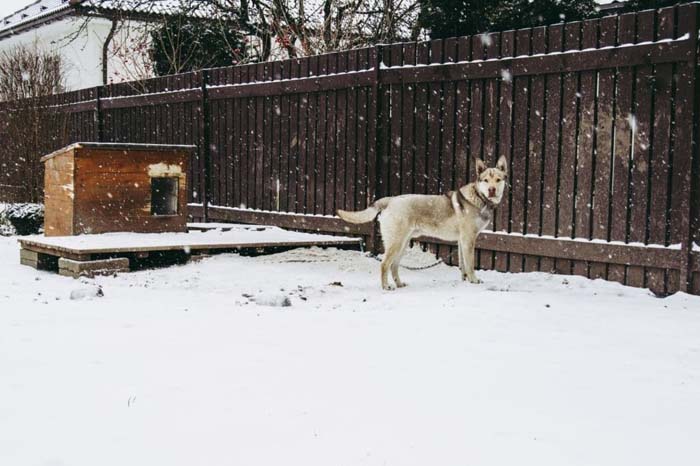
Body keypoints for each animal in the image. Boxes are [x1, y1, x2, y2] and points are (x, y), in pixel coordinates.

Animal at [336, 156, 506, 288]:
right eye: (486, 180)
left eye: (498, 180)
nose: (492, 190)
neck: (480, 198)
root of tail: (389, 200)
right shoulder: (468, 239)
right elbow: (470, 264)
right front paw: (474, 280)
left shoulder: (461, 241)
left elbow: (463, 265)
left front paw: (465, 281)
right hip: (396, 243)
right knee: (384, 264)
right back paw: (386, 287)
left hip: (403, 244)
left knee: (394, 266)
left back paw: (399, 284)